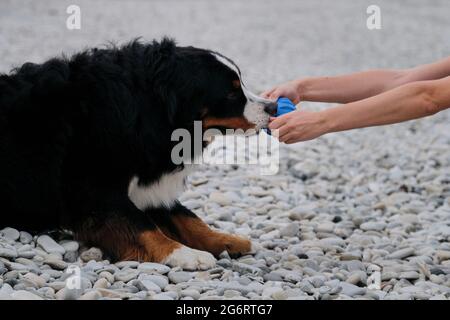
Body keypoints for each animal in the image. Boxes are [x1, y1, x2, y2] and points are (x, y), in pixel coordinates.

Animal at [0, 38, 278, 272]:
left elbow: (187, 217)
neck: (145, 109)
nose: (273, 106)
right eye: (231, 93)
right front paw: (184, 254)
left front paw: (227, 240)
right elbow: (142, 226)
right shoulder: (93, 193)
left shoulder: (146, 187)